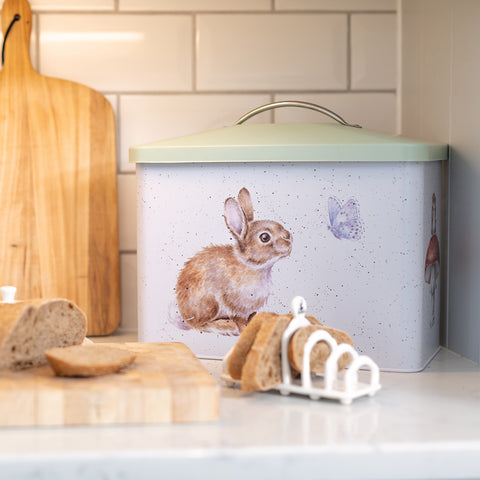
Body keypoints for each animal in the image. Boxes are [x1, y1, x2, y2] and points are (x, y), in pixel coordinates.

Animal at [175, 188, 290, 334]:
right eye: (265, 237)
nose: (289, 238)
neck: (252, 266)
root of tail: (183, 313)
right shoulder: (235, 306)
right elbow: (239, 320)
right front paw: (243, 329)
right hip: (210, 304)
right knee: (200, 325)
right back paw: (225, 326)